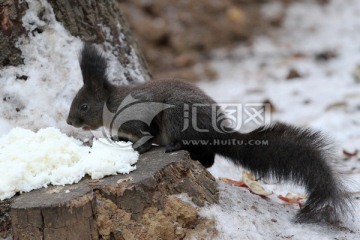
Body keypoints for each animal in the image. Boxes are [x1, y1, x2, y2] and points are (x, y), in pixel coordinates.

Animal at [67, 43, 352, 225]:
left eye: (83, 106)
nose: (70, 121)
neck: (111, 105)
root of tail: (218, 132)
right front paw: (118, 141)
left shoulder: (140, 116)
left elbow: (146, 135)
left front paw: (138, 148)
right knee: (210, 158)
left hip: (178, 117)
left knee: (200, 150)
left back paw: (176, 148)